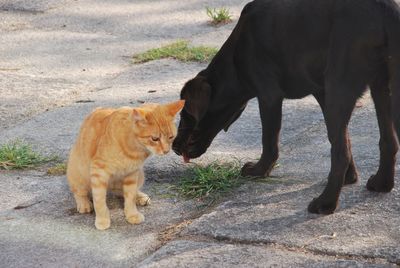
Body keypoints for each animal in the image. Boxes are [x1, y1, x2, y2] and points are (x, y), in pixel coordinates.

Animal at [66, 99, 184, 229]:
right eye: (155, 139)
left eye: (171, 137)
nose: (166, 151)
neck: (134, 148)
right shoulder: (99, 172)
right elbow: (99, 200)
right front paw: (102, 220)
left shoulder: (132, 173)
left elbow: (130, 196)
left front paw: (132, 214)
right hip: (79, 173)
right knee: (79, 192)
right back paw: (84, 204)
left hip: (140, 175)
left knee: (121, 192)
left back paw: (140, 197)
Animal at [173, 0, 400, 214]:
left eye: (185, 114)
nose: (174, 146)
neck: (234, 62)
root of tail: (384, 7)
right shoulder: (322, 93)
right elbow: (342, 138)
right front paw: (350, 177)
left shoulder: (269, 96)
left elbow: (269, 141)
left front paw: (259, 170)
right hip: (382, 86)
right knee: (388, 141)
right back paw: (382, 183)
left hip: (340, 85)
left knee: (340, 154)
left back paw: (325, 203)